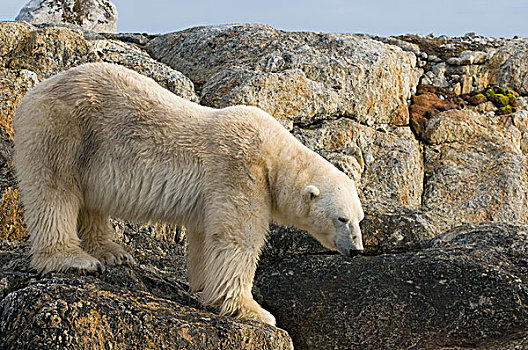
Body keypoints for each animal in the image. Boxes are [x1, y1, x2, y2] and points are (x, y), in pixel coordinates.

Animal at [14, 62, 366, 326]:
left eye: (360, 219)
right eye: (341, 218)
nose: (356, 250)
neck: (274, 154)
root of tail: (33, 92)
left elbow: (205, 236)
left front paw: (201, 284)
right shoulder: (240, 170)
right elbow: (238, 238)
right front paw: (254, 310)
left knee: (88, 201)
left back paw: (112, 251)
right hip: (64, 128)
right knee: (55, 190)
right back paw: (73, 259)